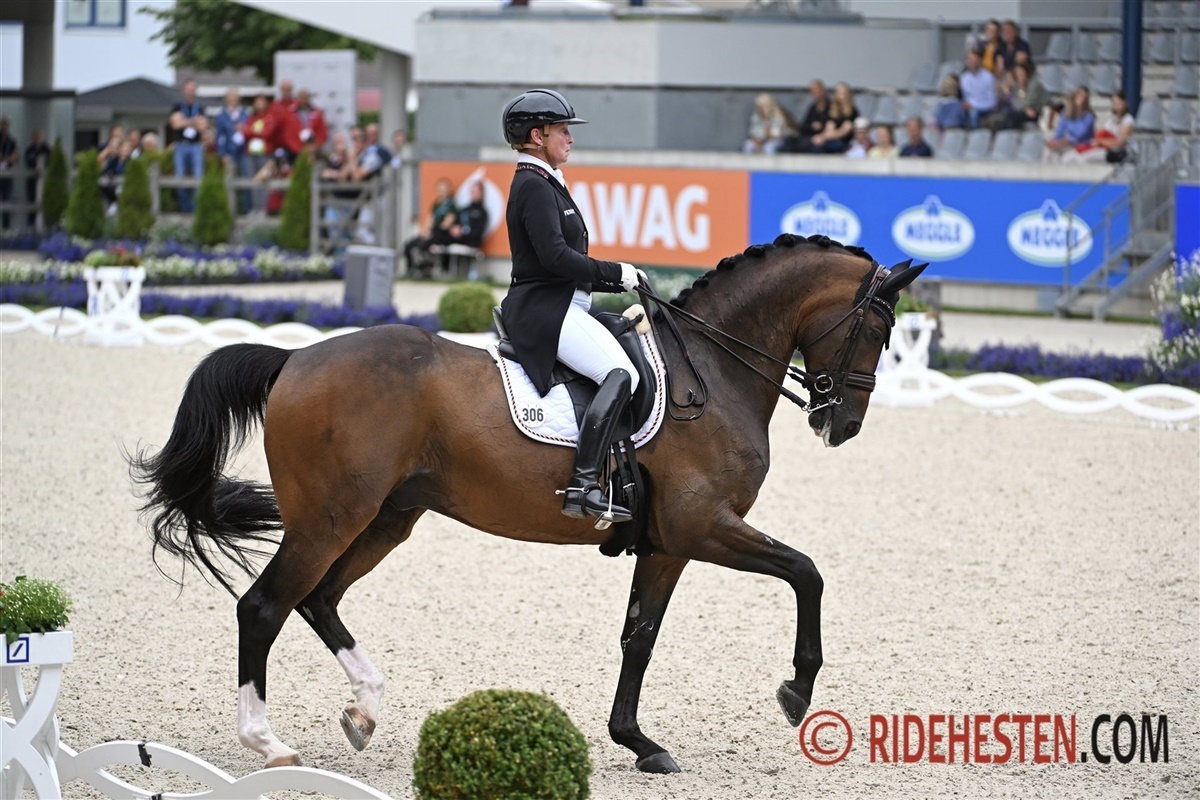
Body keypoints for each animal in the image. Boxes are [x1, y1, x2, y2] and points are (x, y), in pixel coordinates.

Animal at [130, 233, 926, 774]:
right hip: (332, 517)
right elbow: (806, 572)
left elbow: (640, 636)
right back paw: (268, 742)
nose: (842, 425)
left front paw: (637, 742)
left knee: (318, 598)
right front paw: (796, 690)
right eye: (878, 329)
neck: (713, 372)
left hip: (387, 518)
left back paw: (365, 708)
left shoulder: (666, 542)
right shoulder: (703, 528)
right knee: (264, 606)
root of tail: (296, 357)